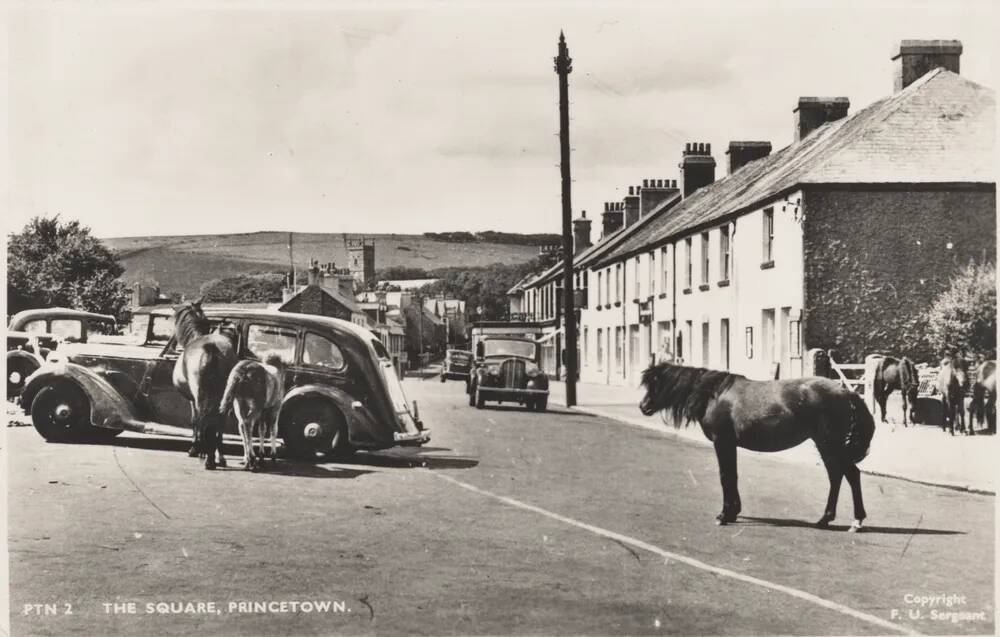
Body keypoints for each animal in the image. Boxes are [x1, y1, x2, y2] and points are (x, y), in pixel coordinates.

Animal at [172, 298, 240, 468]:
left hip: (199, 394)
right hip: (223, 393)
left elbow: (194, 421)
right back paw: (219, 456)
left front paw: (194, 449)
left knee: (204, 418)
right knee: (219, 420)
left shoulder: (191, 399)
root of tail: (211, 347)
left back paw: (207, 457)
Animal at [640, 362, 876, 532]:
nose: (643, 406)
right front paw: (733, 512)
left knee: (849, 475)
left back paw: (855, 522)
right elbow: (732, 475)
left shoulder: (722, 441)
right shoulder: (730, 444)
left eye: (656, 383)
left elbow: (725, 476)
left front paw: (724, 515)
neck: (713, 395)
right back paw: (826, 519)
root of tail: (846, 393)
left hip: (829, 444)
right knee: (837, 476)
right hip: (826, 446)